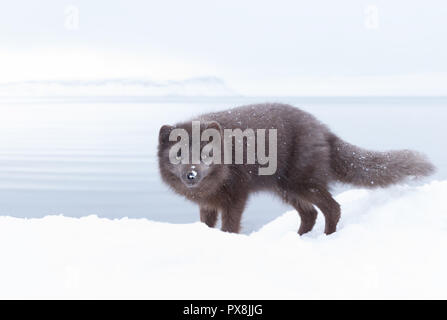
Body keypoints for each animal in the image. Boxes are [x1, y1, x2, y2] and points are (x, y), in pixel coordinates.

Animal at [158, 103, 434, 235]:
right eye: (179, 153)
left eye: (206, 153)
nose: (191, 174)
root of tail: (323, 130)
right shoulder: (208, 203)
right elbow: (206, 224)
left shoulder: (236, 194)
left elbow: (231, 225)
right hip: (286, 189)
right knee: (310, 214)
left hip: (302, 183)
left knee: (332, 208)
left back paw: (327, 238)